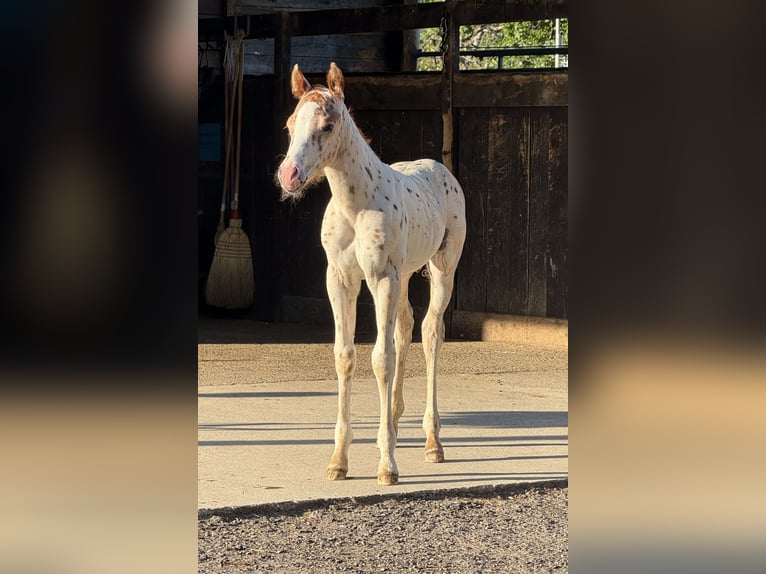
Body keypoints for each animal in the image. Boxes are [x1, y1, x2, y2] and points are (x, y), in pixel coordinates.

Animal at [277, 63, 466, 485]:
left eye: (327, 125)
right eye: (290, 123)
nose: (289, 175)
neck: (356, 205)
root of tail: (440, 168)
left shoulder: (381, 278)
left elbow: (381, 359)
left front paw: (387, 466)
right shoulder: (340, 279)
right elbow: (345, 355)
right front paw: (338, 461)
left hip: (441, 267)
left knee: (430, 331)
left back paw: (432, 442)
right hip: (406, 272)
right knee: (406, 326)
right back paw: (394, 424)